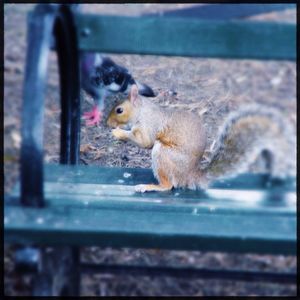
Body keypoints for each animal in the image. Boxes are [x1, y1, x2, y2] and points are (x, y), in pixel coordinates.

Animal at [106, 84, 296, 192]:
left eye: (119, 110)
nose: (107, 123)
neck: (142, 110)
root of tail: (190, 175)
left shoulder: (149, 125)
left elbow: (145, 141)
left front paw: (118, 132)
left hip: (163, 154)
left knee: (169, 186)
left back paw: (150, 187)